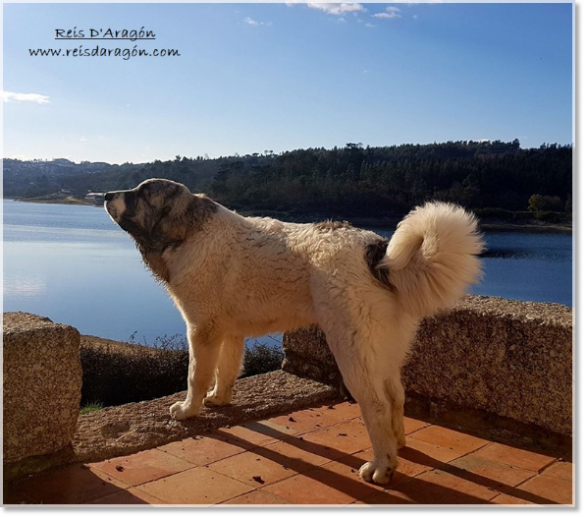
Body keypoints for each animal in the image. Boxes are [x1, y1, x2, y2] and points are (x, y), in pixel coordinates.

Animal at [106, 180, 484, 488]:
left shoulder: (202, 329)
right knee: (396, 396)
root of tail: (377, 252)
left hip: (352, 350)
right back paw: (397, 444)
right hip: (383, 350)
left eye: (142, 193)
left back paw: (381, 466)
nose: (107, 195)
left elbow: (196, 375)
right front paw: (219, 399)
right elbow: (225, 371)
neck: (191, 232)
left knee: (376, 404)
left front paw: (189, 410)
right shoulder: (229, 332)